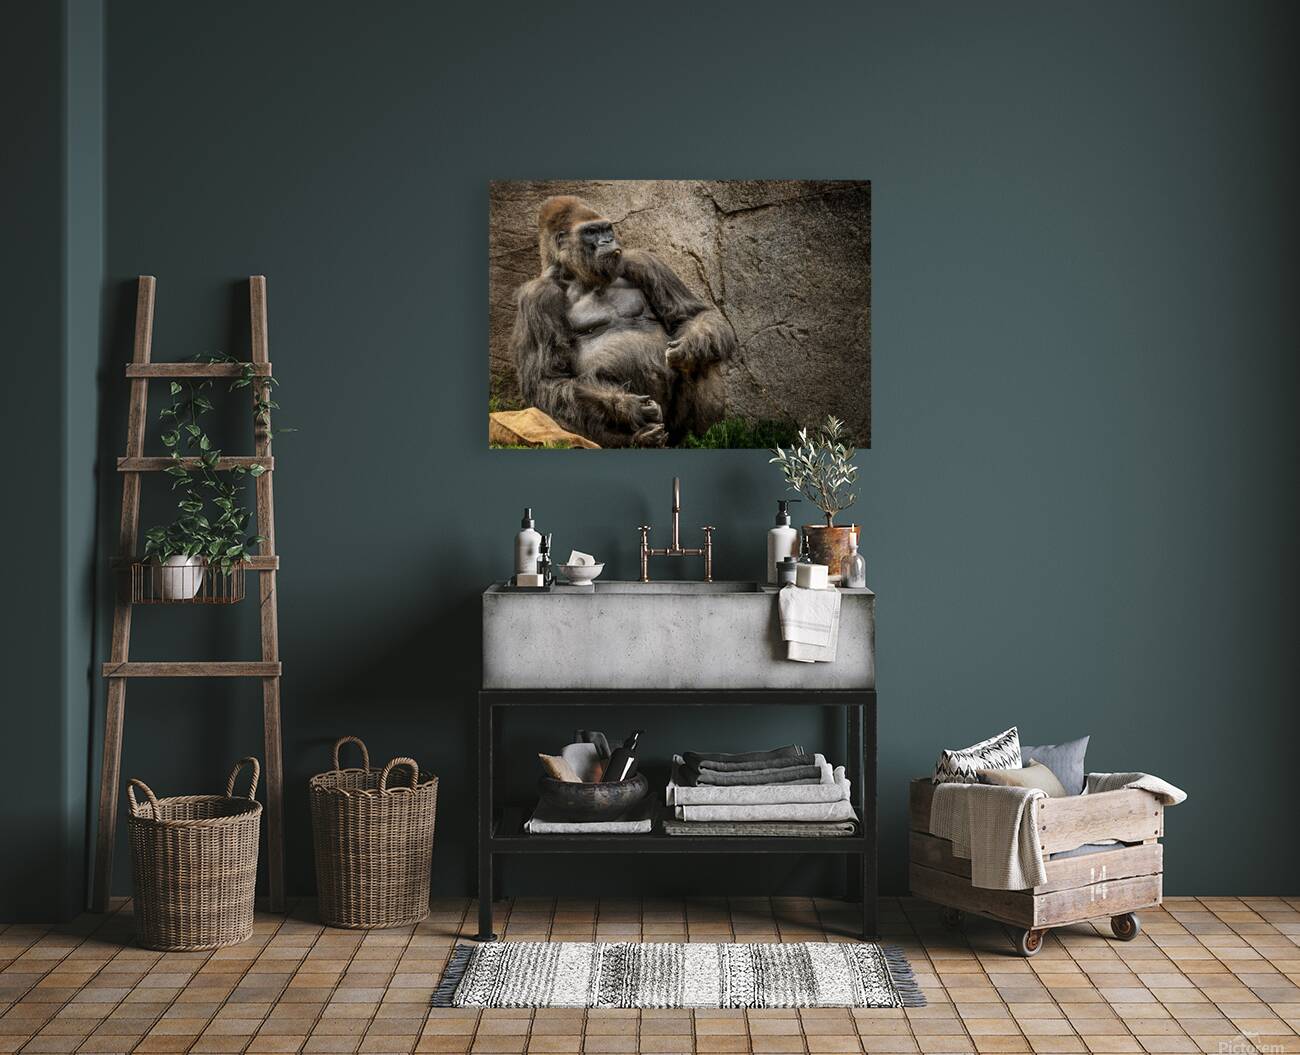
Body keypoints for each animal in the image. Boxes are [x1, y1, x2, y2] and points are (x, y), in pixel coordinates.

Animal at [509, 196, 736, 447]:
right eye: (591, 232)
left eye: (606, 229)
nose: (608, 240)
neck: (576, 275)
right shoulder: (536, 297)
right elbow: (548, 379)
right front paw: (627, 406)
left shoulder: (643, 261)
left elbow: (690, 315)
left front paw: (691, 347)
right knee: (560, 405)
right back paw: (639, 439)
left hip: (674, 431)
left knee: (703, 359)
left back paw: (701, 438)